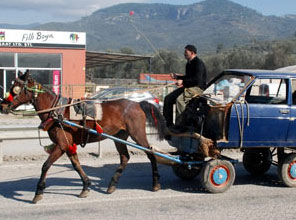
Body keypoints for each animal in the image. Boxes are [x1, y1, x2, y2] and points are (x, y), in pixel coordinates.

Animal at [0, 71, 166, 204]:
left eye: (16, 88)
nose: (3, 106)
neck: (57, 111)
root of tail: (138, 104)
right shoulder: (67, 144)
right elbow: (76, 165)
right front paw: (85, 186)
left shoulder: (61, 145)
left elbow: (46, 166)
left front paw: (38, 192)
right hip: (119, 136)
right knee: (125, 157)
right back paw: (112, 184)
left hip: (137, 134)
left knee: (151, 154)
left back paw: (156, 183)